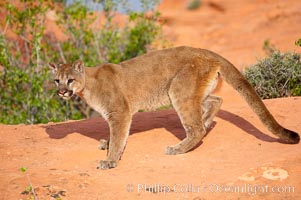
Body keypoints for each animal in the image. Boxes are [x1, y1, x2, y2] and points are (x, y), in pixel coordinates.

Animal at [48, 46, 298, 169]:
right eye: (57, 80)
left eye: (70, 80)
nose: (61, 91)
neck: (88, 85)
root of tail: (207, 51)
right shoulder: (116, 116)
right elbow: (116, 136)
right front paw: (106, 145)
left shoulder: (120, 113)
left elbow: (119, 138)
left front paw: (110, 161)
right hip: (189, 92)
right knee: (216, 102)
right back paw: (205, 121)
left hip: (178, 90)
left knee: (197, 128)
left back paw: (177, 148)